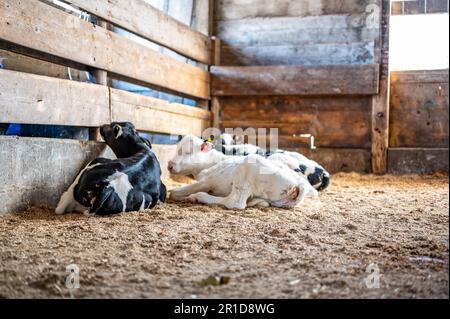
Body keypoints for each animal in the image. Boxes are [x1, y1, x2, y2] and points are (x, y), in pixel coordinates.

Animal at [168, 136, 316, 209]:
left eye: (188, 152)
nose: (169, 165)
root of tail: (300, 184)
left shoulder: (207, 182)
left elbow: (174, 193)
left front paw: (185, 196)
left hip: (246, 171)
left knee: (235, 202)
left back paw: (198, 197)